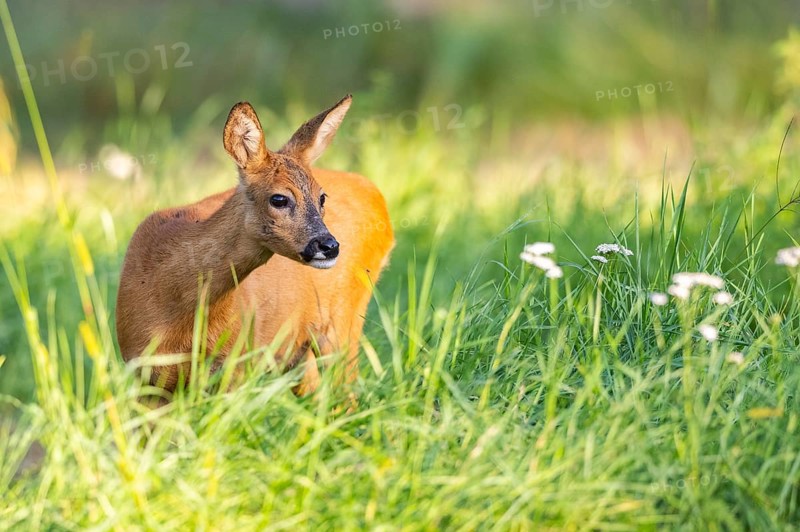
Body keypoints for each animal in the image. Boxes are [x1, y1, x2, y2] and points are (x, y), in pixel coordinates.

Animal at [115, 95, 394, 396]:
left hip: (343, 318)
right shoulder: (143, 373)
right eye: (279, 198)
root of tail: (377, 197)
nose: (329, 246)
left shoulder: (235, 363)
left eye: (321, 197)